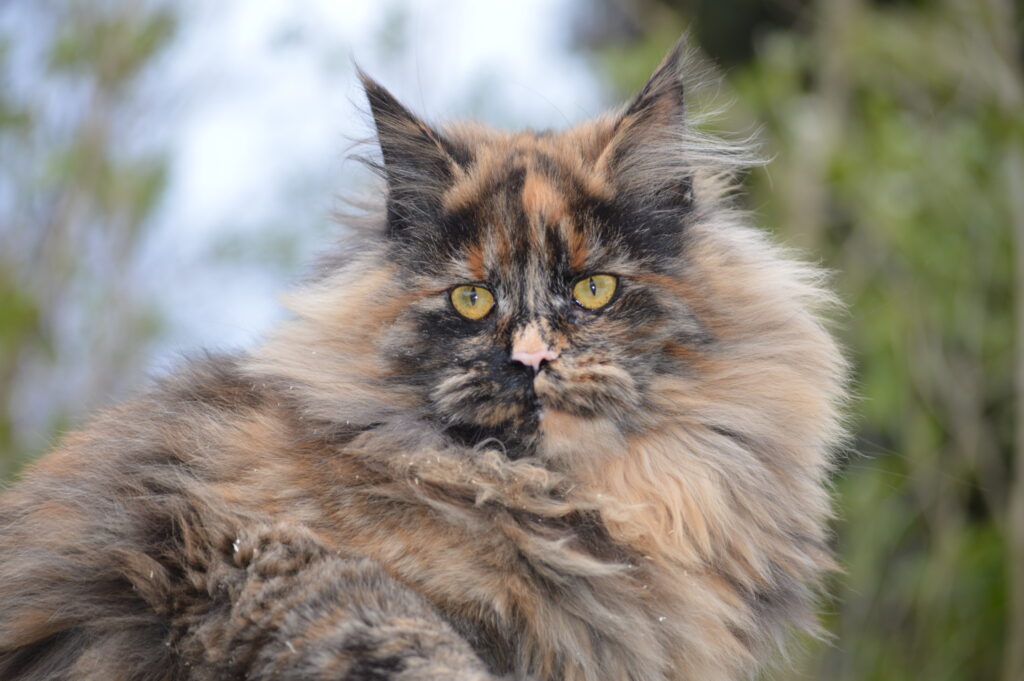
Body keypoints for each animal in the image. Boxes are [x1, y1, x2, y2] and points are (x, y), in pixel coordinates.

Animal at [0, 38, 847, 679]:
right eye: (472, 299)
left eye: (594, 288)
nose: (531, 359)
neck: (564, 502)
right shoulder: (238, 542)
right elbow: (407, 636)